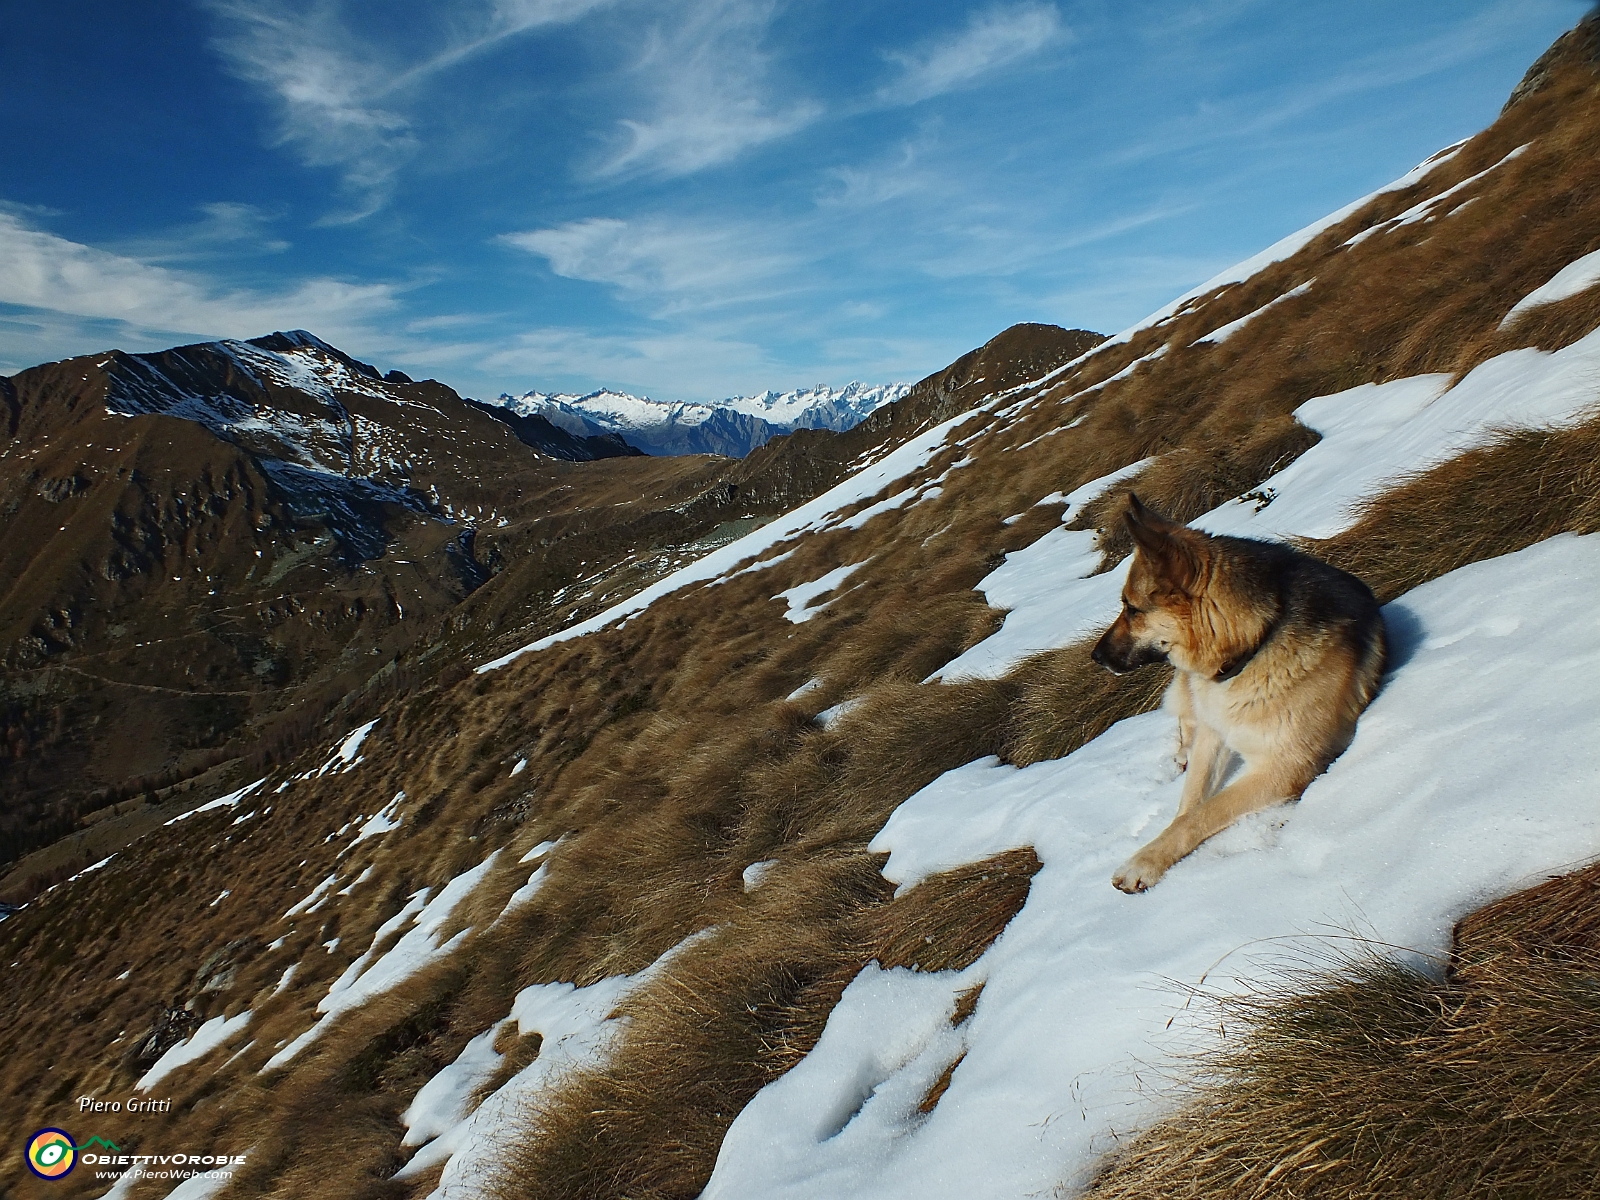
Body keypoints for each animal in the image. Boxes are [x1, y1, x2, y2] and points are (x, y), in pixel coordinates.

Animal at [1094, 496, 1382, 896]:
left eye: (1132, 609)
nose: (1095, 657)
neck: (1252, 646)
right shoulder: (1213, 735)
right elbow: (1188, 806)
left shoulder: (1285, 767)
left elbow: (1200, 814)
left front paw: (1144, 862)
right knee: (1185, 720)